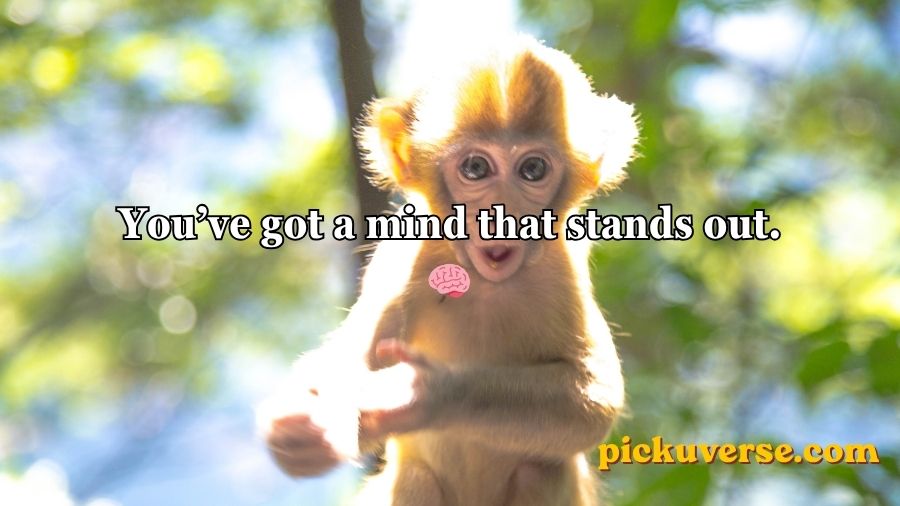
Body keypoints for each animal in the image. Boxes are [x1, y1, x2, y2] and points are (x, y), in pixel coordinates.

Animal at [260, 35, 639, 505]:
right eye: (476, 168)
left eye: (533, 170)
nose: (501, 209)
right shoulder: (405, 257)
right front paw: (305, 426)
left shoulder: (562, 265)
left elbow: (596, 400)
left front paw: (416, 395)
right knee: (415, 478)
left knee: (542, 469)